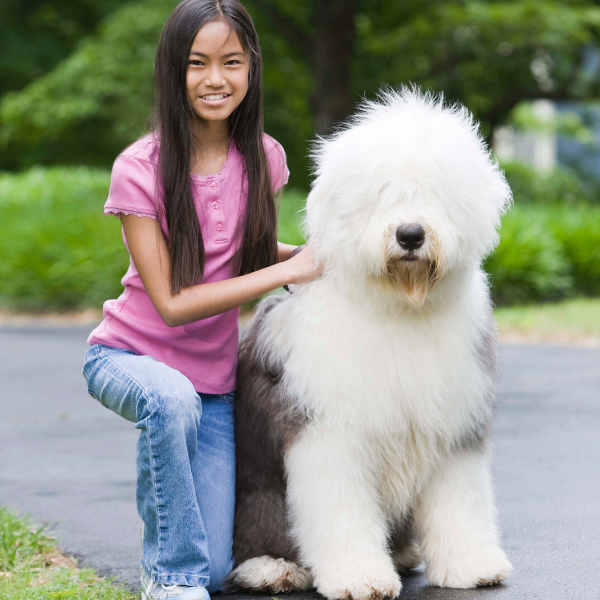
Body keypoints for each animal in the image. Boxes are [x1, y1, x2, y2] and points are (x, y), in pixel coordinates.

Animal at [227, 86, 512, 596]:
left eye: (435, 192)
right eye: (381, 193)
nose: (410, 234)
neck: (399, 307)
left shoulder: (456, 422)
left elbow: (459, 500)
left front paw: (471, 565)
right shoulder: (330, 432)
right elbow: (341, 510)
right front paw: (359, 577)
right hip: (256, 495)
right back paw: (273, 569)